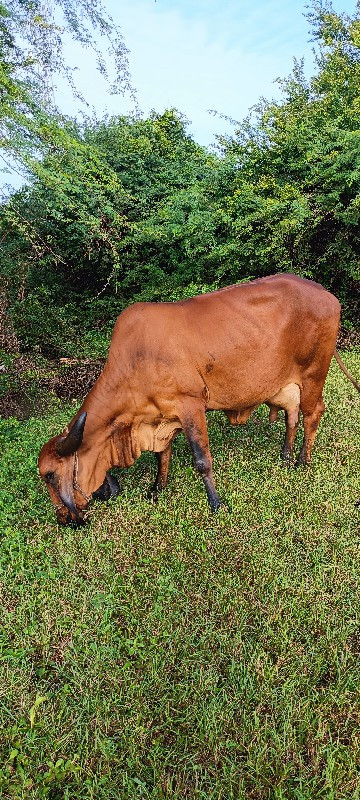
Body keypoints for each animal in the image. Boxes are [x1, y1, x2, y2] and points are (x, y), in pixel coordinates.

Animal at [38, 276, 358, 524]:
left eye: (50, 475)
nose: (63, 519)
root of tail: (327, 293)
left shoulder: (191, 405)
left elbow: (202, 460)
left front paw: (216, 503)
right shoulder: (162, 416)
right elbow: (162, 456)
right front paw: (157, 489)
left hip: (314, 375)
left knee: (312, 413)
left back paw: (303, 461)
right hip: (285, 386)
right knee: (292, 415)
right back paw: (285, 456)